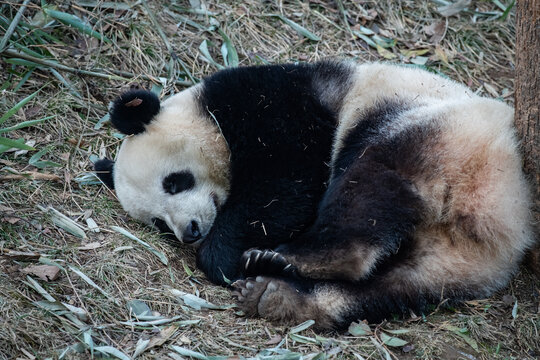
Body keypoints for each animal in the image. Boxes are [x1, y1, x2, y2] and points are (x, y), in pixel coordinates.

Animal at [95, 61, 532, 330]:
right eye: (157, 223)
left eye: (175, 182)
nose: (190, 231)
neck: (205, 114)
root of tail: (505, 217)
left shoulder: (275, 108)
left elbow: (286, 186)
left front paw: (222, 256)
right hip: (454, 256)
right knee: (396, 287)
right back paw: (279, 296)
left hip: (432, 136)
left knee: (370, 182)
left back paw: (301, 258)